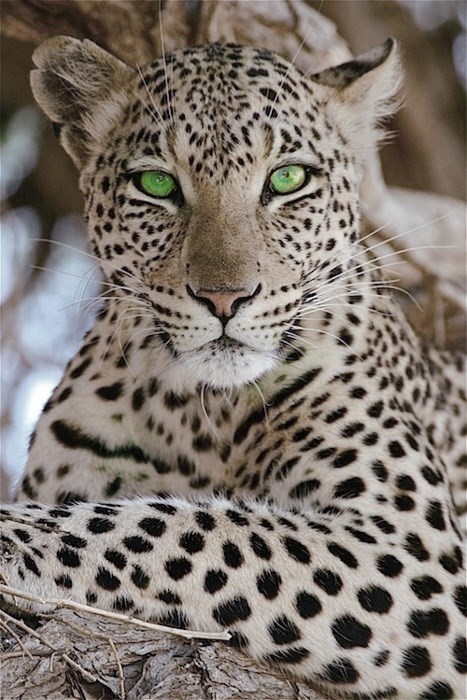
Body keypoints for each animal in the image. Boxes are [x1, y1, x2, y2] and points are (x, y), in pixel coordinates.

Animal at [1, 35, 466, 700]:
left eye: (288, 178)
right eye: (157, 184)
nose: (225, 299)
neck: (196, 413)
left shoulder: (411, 551)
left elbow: (182, 528)